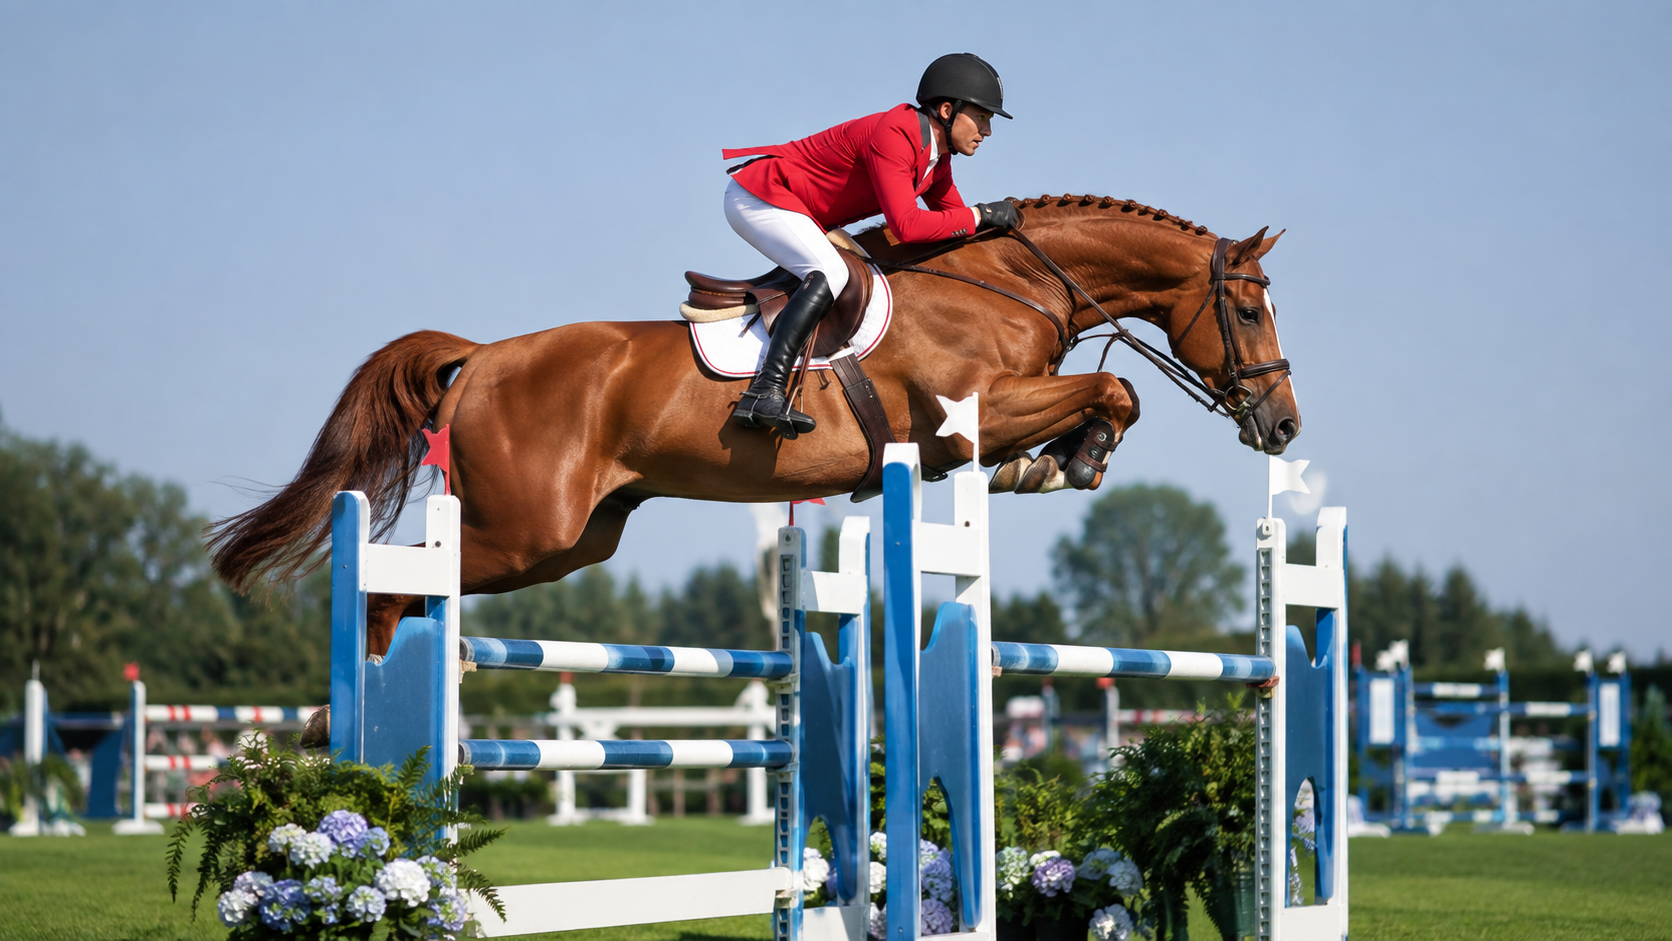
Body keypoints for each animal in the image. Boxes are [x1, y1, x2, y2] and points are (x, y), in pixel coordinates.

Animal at [208, 194, 1299, 656]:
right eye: (1249, 310)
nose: (1282, 424)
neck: (1000, 281)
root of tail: (479, 356)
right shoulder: (966, 417)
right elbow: (1113, 392)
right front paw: (1061, 460)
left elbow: (1113, 396)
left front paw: (1061, 463)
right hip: (525, 528)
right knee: (397, 588)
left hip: (568, 543)